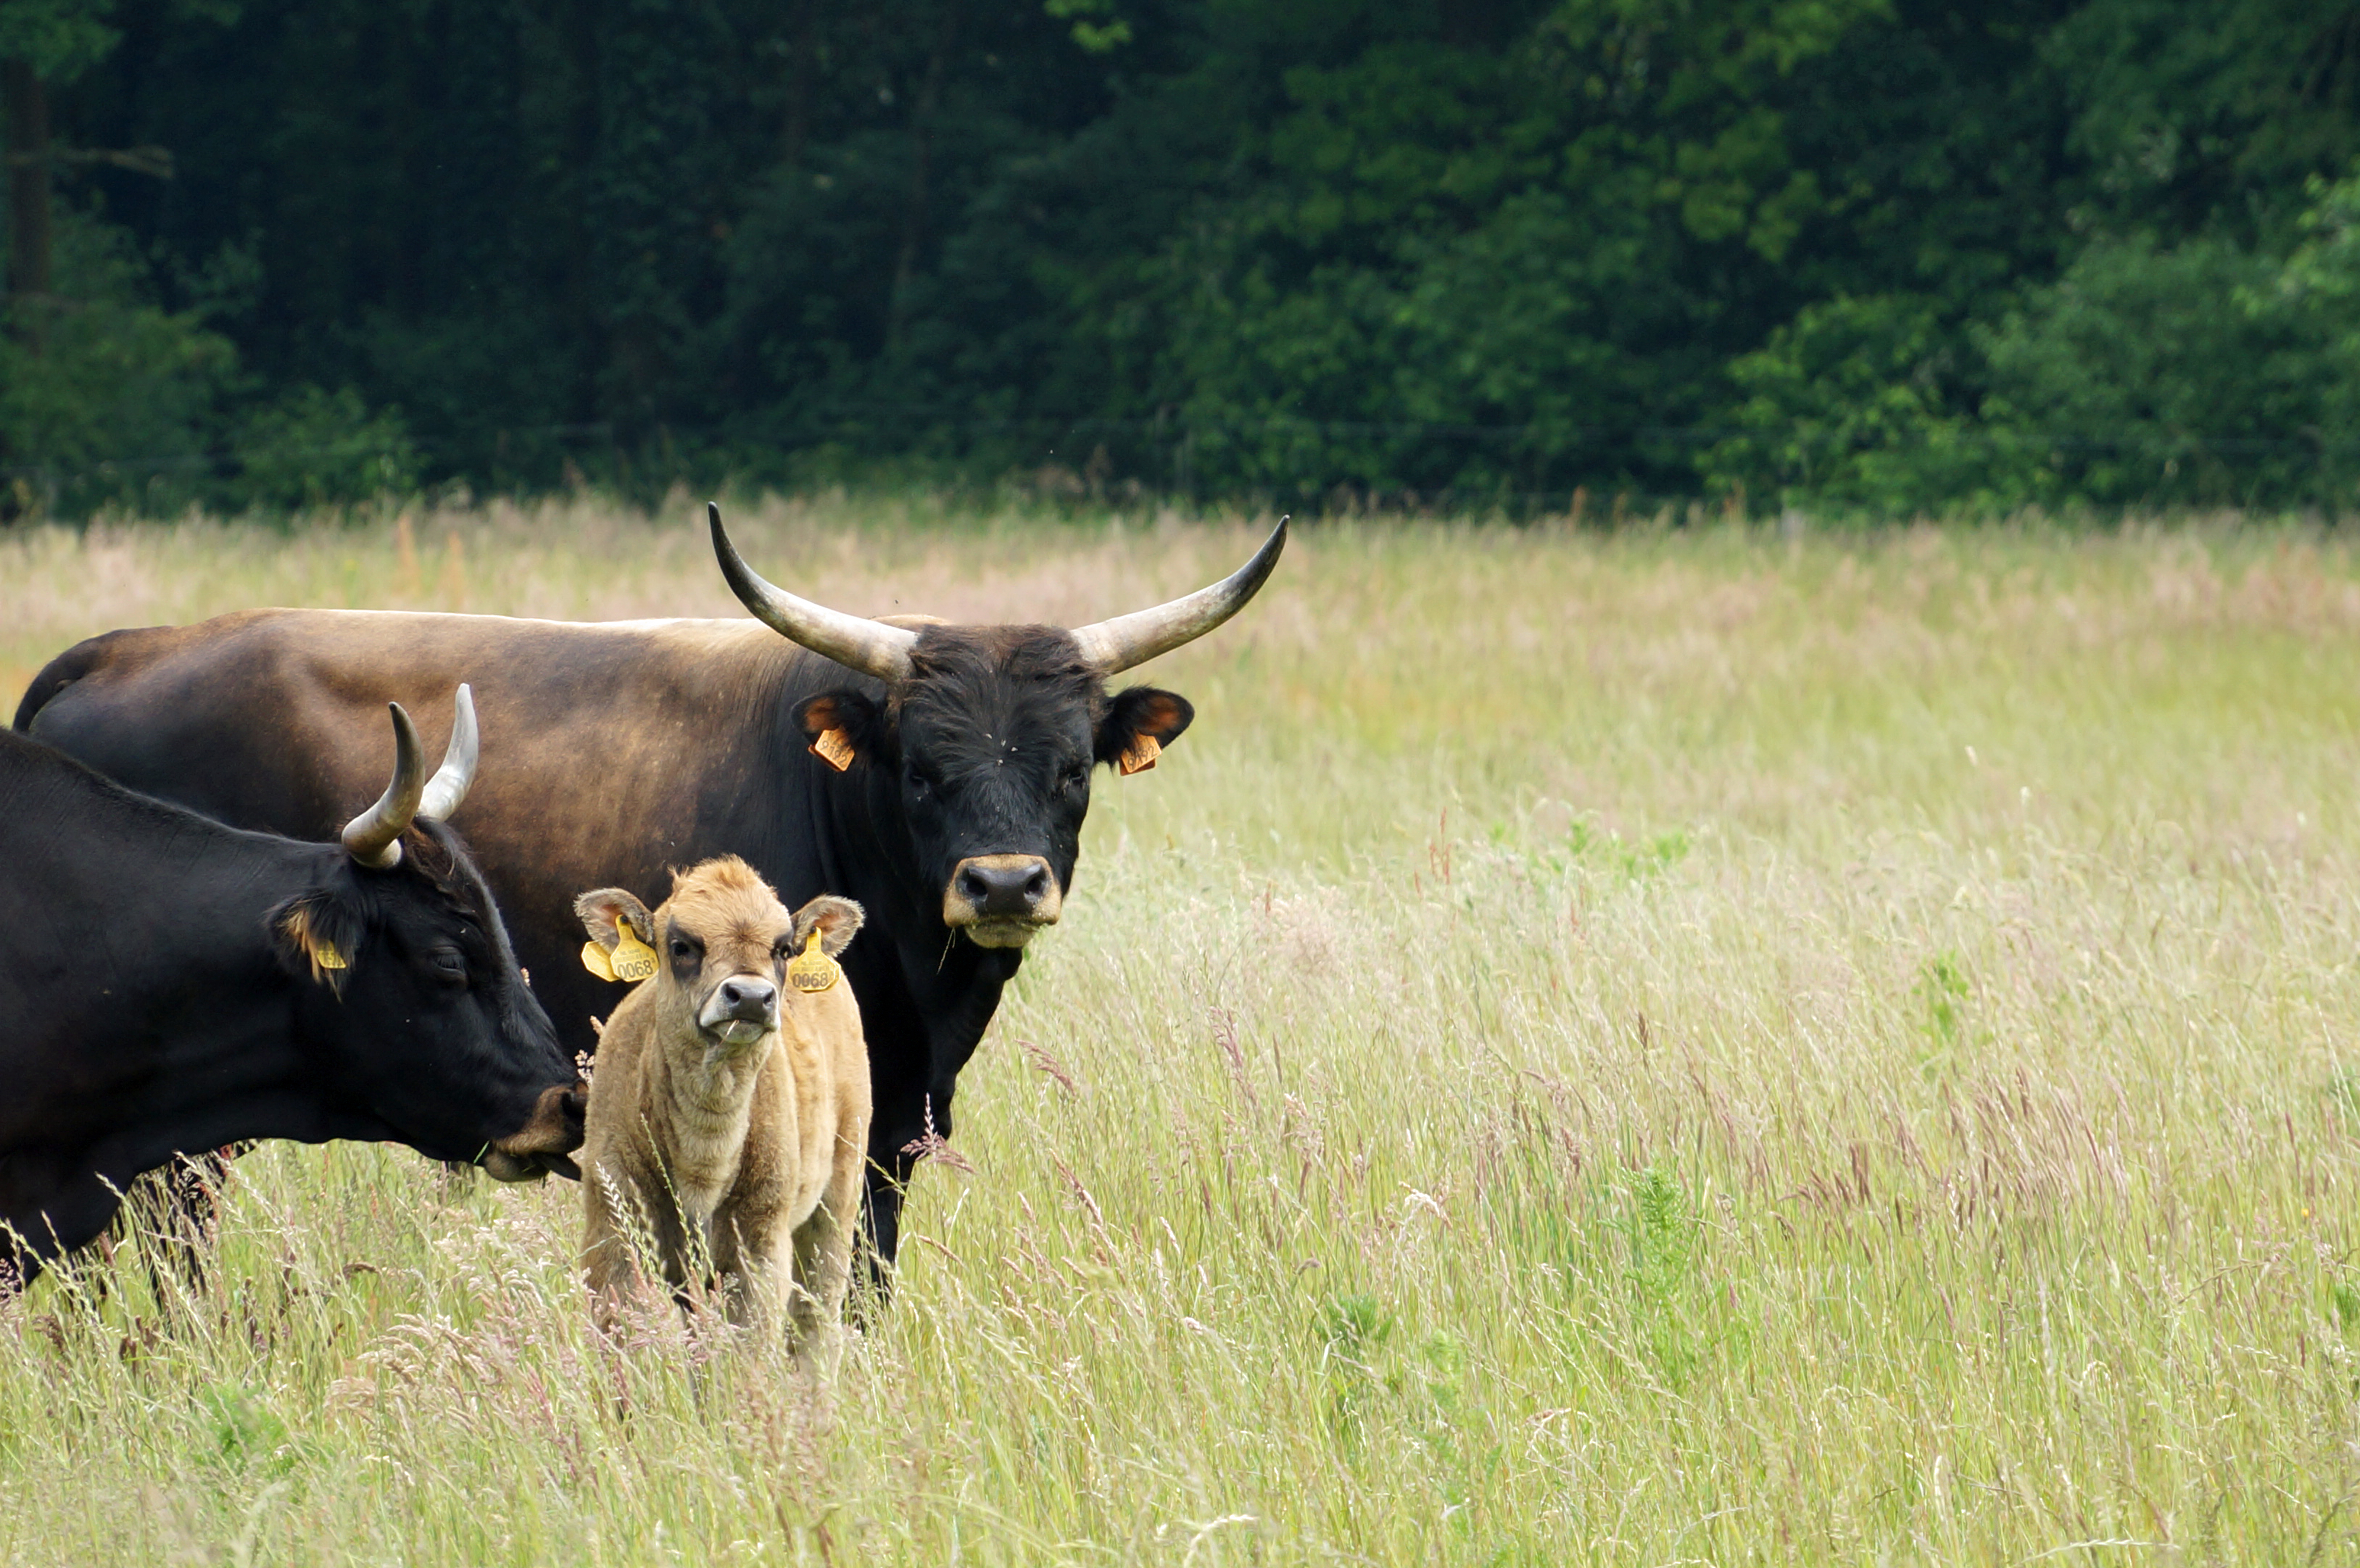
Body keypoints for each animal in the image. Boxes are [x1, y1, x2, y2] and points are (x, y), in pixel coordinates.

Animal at [574, 860, 868, 1363]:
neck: (702, 1161)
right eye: (681, 946)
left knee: (813, 1330)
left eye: (783, 949)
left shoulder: (758, 1253)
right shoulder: (614, 1241)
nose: (750, 997)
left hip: (835, 1209)